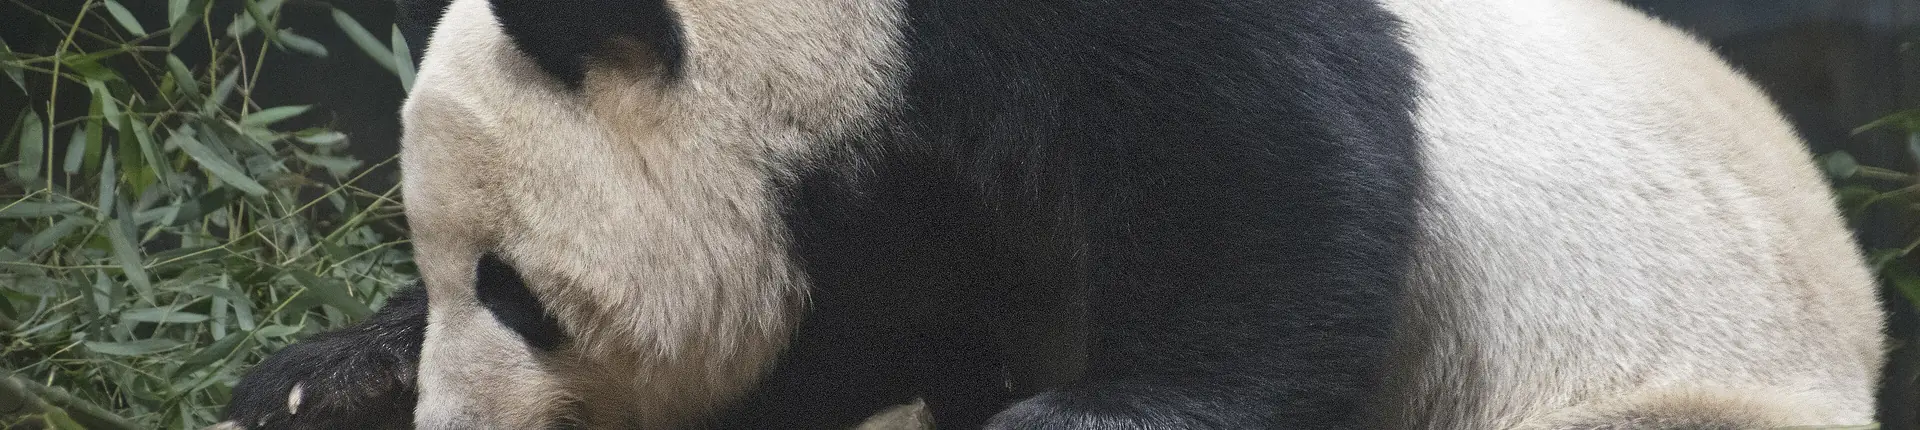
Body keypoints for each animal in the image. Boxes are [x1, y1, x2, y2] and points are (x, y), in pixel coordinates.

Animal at [217, 0, 1885, 428]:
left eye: (518, 287)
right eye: (442, 274)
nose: (459, 426)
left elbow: (1273, 211)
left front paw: (1083, 417)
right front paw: (318, 376)